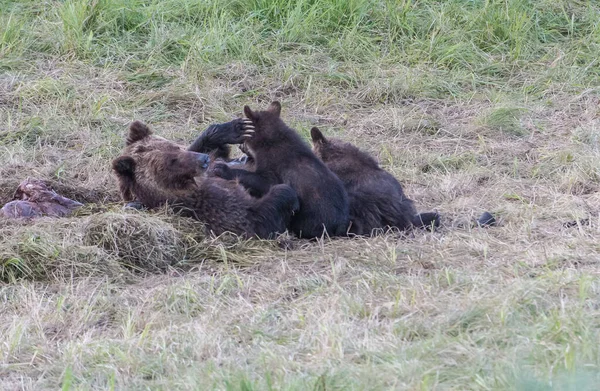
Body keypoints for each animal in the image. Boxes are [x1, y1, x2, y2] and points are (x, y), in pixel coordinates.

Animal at [111, 121, 298, 240]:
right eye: (171, 162)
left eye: (175, 147)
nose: (204, 160)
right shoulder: (210, 207)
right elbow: (258, 217)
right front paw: (287, 194)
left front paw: (232, 129)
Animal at [209, 102, 350, 239]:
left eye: (245, 137)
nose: (240, 146)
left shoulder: (274, 168)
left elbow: (264, 181)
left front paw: (222, 168)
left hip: (314, 216)